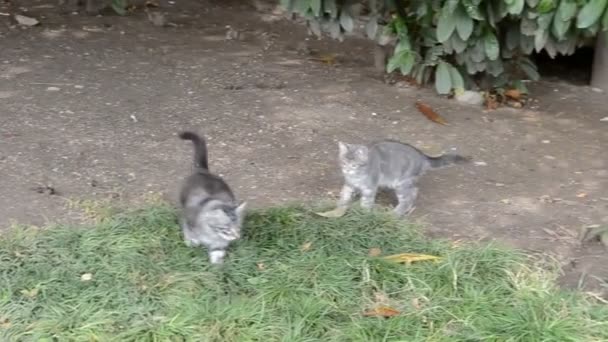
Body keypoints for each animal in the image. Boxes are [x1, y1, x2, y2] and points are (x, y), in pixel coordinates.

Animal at [178, 131, 247, 264]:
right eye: (227, 228)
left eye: (238, 227)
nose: (237, 236)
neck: (212, 234)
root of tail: (203, 171)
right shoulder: (188, 221)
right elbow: (189, 235)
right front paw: (192, 242)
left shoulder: (218, 245)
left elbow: (217, 255)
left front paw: (218, 267)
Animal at [338, 140, 470, 215]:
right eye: (343, 163)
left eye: (354, 165)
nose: (346, 169)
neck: (356, 175)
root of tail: (422, 156)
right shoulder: (348, 185)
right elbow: (344, 195)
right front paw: (339, 209)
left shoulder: (369, 188)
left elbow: (366, 202)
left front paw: (363, 214)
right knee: (414, 191)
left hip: (402, 183)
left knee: (407, 199)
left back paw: (395, 214)